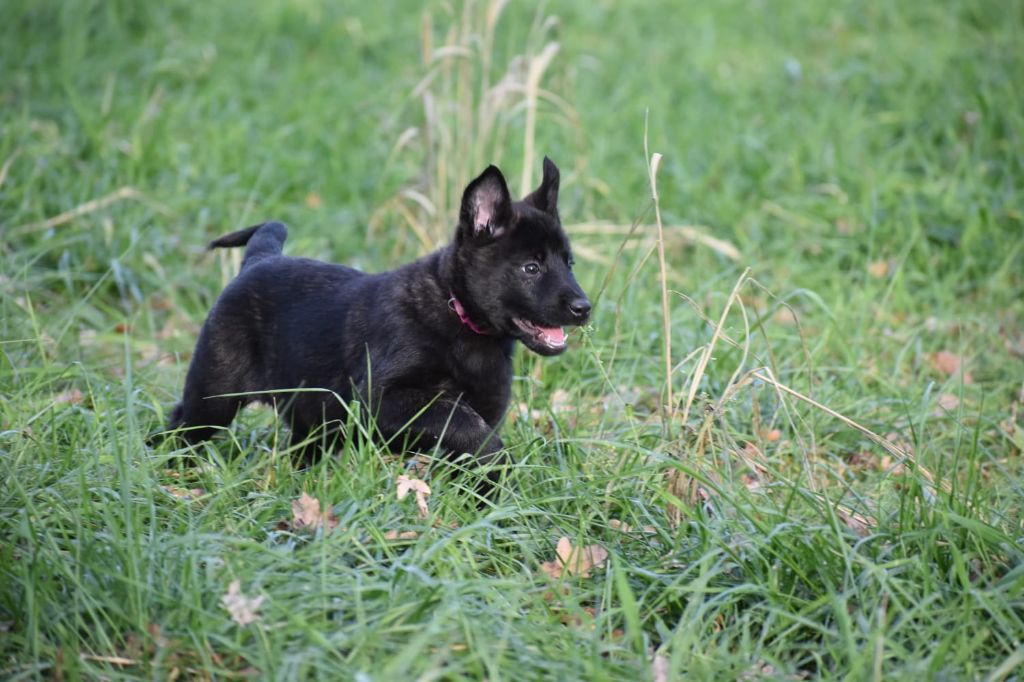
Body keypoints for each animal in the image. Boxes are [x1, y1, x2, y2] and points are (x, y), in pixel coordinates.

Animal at [166, 158, 589, 477]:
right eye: (531, 267)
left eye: (568, 264)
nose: (584, 308)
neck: (458, 316)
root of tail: (259, 258)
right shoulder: (380, 399)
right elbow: (464, 424)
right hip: (215, 394)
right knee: (182, 422)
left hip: (309, 415)